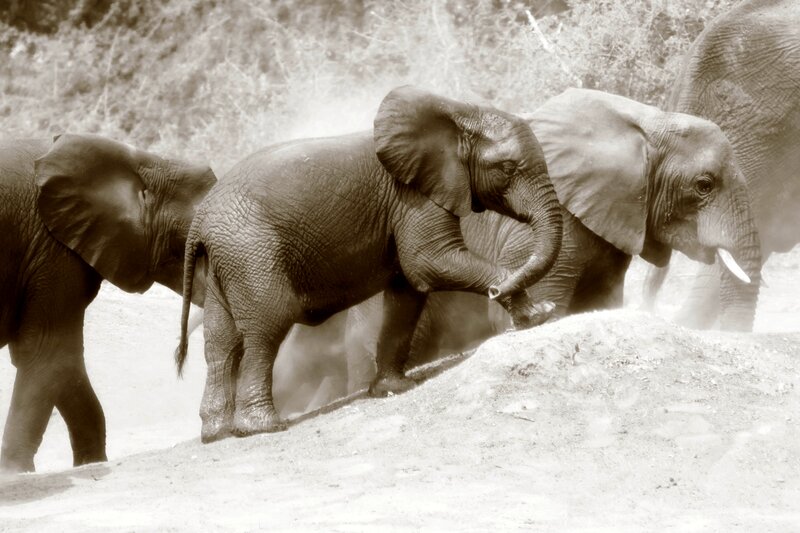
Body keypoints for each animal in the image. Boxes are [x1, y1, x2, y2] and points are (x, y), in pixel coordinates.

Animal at [0, 134, 215, 473]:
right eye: (198, 247)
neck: (144, 161)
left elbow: (57, 361)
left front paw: (90, 463)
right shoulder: (52, 250)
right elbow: (47, 350)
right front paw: (15, 473)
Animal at [175, 85, 565, 443]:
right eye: (507, 168)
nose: (499, 290)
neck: (457, 112)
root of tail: (200, 223)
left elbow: (407, 291)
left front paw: (394, 388)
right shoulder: (413, 197)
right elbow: (430, 263)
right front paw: (539, 314)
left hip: (227, 259)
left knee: (220, 341)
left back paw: (216, 433)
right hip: (251, 250)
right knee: (266, 325)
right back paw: (262, 427)